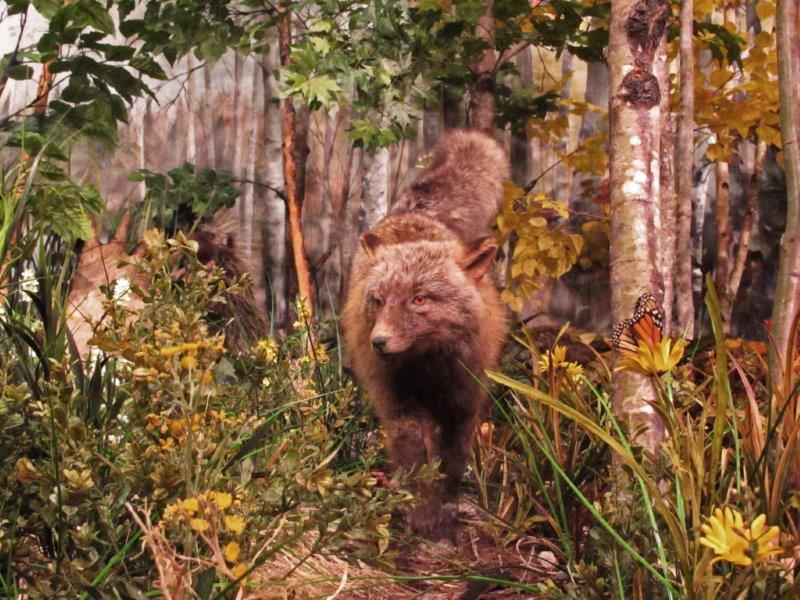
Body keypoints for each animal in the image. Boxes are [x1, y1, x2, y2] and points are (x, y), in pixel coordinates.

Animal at [341, 129, 509, 542]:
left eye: (419, 299)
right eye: (380, 300)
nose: (379, 341)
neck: (429, 370)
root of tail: (413, 214)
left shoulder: (462, 406)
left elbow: (451, 466)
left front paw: (444, 518)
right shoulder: (400, 408)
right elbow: (416, 465)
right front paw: (421, 516)